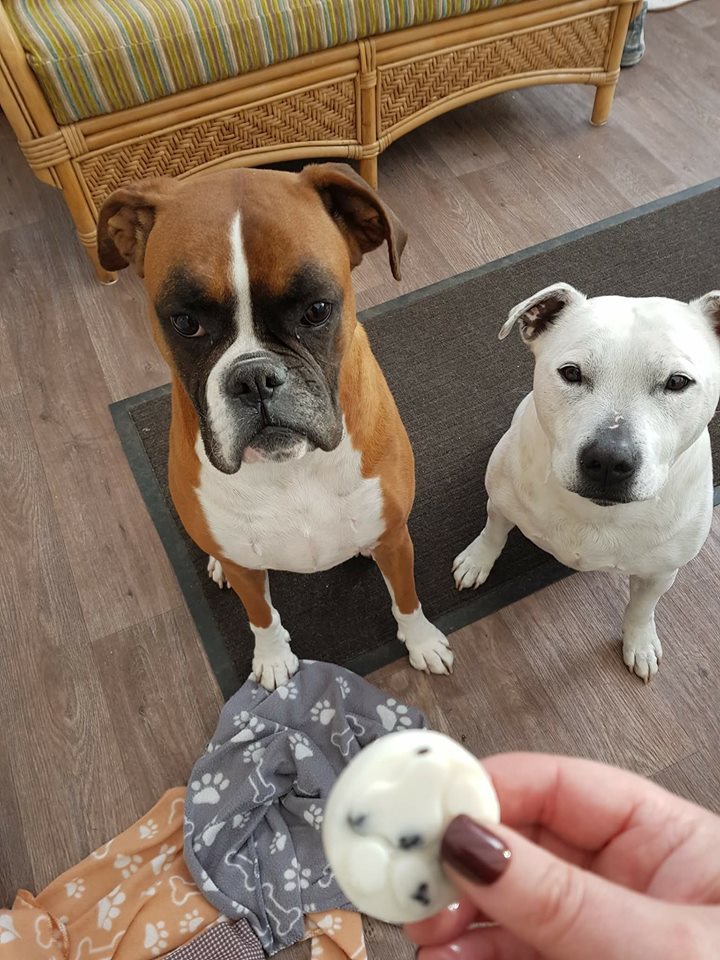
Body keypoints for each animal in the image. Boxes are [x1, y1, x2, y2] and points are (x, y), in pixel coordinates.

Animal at [98, 163, 453, 689]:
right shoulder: (248, 571)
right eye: (185, 323)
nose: (254, 378)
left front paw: (422, 640)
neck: (290, 470)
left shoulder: (394, 538)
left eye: (317, 310)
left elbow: (406, 598)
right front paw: (271, 659)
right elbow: (261, 617)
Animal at [453, 282, 720, 681]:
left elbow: (641, 608)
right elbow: (493, 533)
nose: (608, 460)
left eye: (677, 382)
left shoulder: (660, 573)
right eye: (571, 373)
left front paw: (639, 642)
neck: (598, 513)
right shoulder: (501, 502)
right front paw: (476, 560)